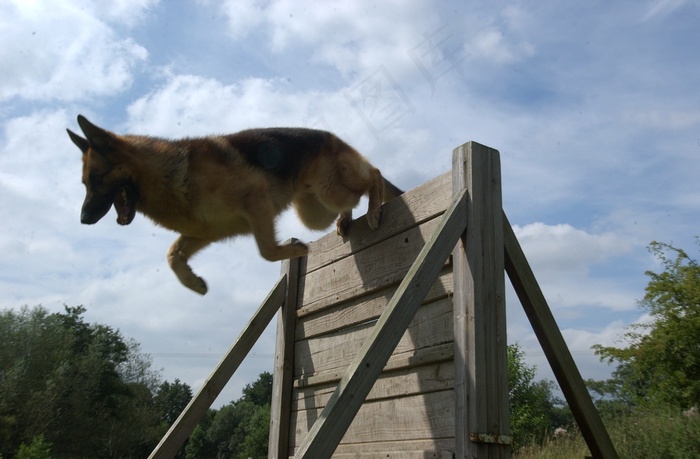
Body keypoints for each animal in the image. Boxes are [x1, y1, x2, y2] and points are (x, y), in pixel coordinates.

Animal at [69, 115, 404, 294]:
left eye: (97, 177)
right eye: (84, 183)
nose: (84, 219)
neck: (165, 174)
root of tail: (332, 136)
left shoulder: (257, 202)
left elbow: (267, 250)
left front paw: (296, 250)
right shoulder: (206, 233)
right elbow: (172, 255)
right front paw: (194, 283)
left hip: (330, 191)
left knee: (374, 174)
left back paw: (374, 210)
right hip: (314, 210)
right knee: (351, 197)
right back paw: (345, 220)